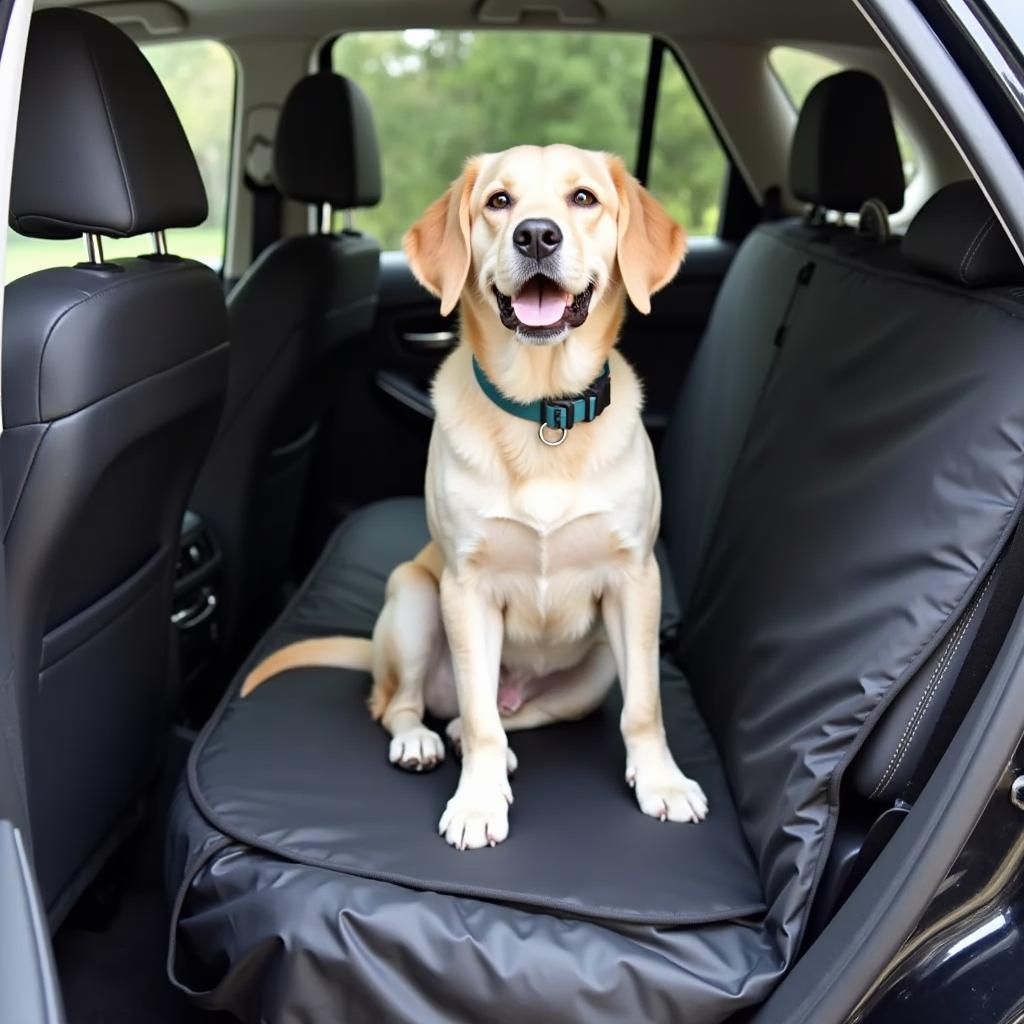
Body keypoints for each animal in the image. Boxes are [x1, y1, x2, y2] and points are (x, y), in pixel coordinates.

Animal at [241, 144, 704, 847]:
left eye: (584, 198)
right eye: (499, 201)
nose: (536, 235)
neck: (542, 409)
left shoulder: (636, 582)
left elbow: (645, 708)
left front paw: (662, 782)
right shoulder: (465, 588)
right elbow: (479, 711)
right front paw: (479, 803)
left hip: (595, 670)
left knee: (514, 713)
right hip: (413, 597)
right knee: (406, 705)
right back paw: (424, 741)